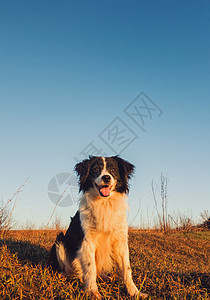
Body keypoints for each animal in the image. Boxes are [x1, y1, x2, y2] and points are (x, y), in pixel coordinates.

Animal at [50, 156, 147, 298]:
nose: (106, 178)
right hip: (60, 241)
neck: (104, 203)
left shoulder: (120, 241)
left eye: (113, 170)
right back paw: (63, 274)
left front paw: (135, 292)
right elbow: (91, 267)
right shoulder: (87, 241)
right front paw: (92, 292)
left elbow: (126, 268)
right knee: (69, 269)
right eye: (96, 169)